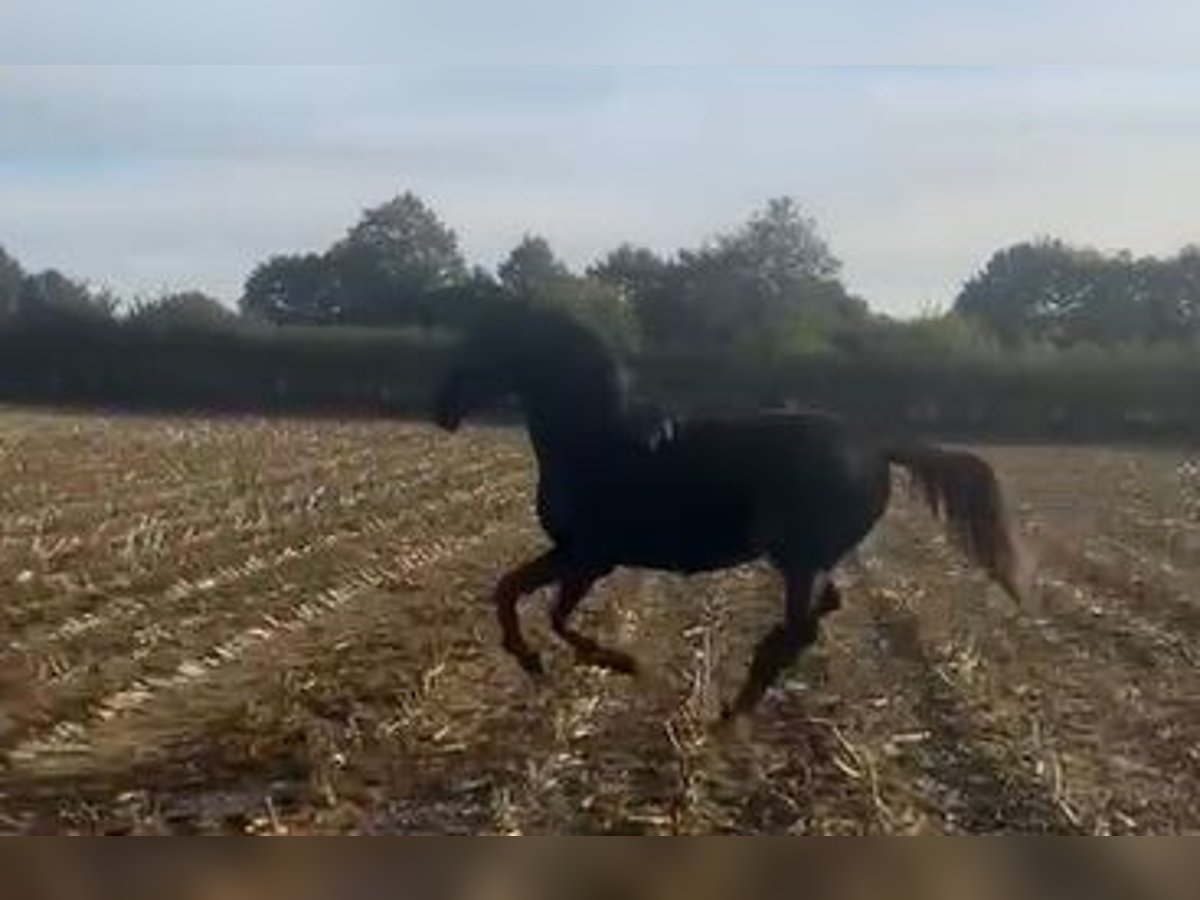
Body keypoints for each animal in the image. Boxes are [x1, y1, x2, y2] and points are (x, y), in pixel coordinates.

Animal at [432, 302, 1031, 724]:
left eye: (485, 340)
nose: (441, 410)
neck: (598, 439)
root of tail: (877, 447)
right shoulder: (571, 552)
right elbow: (508, 590)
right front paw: (528, 659)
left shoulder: (591, 555)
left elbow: (555, 616)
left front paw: (622, 663)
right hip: (807, 558)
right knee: (819, 613)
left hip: (799, 557)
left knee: (802, 629)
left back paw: (730, 713)